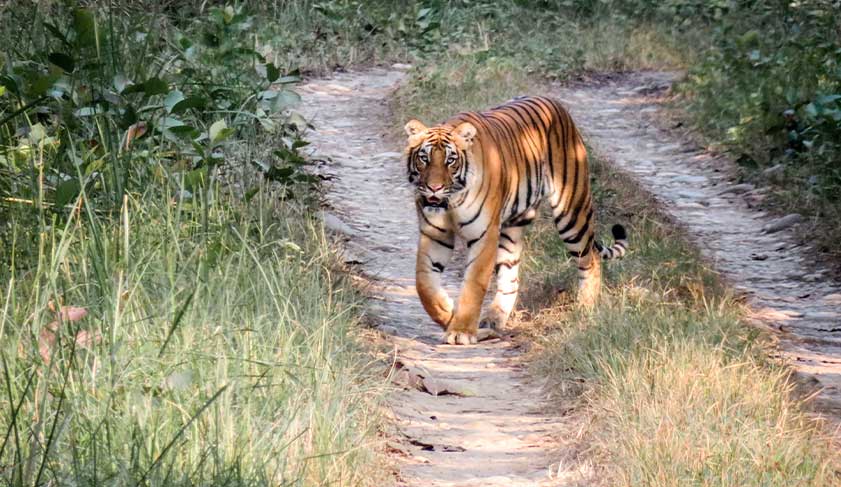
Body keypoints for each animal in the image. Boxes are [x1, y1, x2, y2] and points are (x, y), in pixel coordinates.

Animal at [403, 95, 628, 345]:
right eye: (424, 158)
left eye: (450, 161)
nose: (434, 188)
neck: (451, 202)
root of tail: (556, 103)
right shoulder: (434, 235)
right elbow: (424, 285)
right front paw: (448, 312)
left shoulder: (484, 235)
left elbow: (473, 285)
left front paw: (461, 331)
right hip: (512, 228)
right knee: (511, 278)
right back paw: (493, 320)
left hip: (571, 212)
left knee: (591, 259)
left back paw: (586, 307)